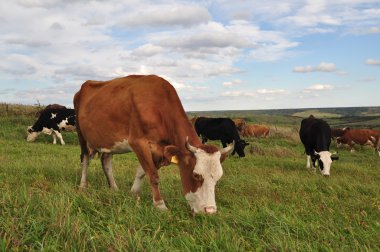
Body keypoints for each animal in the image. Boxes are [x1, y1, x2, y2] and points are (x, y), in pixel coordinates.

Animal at [72, 75, 232, 215]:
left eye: (219, 177)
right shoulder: (138, 142)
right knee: (85, 159)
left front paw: (133, 193)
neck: (159, 105)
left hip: (108, 140)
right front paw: (160, 205)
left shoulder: (159, 149)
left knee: (106, 162)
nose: (210, 211)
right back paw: (82, 186)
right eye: (196, 175)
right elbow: (153, 175)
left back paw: (114, 188)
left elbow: (143, 172)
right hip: (81, 133)